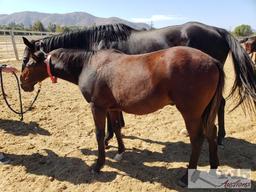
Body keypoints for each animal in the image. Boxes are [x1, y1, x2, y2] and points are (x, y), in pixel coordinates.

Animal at [21, 21, 256, 147]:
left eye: (28, 59)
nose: (24, 85)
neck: (95, 43)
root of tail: (218, 29)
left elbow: (109, 119)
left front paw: (107, 138)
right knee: (220, 103)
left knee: (220, 105)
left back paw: (220, 137)